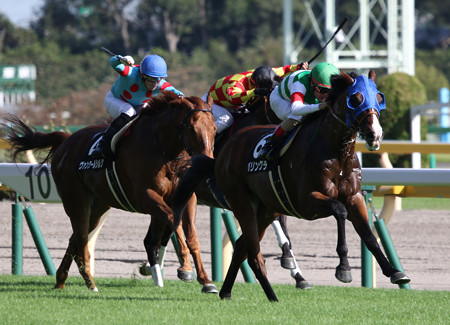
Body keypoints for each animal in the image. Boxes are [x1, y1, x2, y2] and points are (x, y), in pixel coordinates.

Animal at [4, 90, 217, 292]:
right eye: (192, 128)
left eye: (214, 129)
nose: (207, 164)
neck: (164, 150)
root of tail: (67, 141)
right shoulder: (145, 196)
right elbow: (174, 219)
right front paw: (185, 269)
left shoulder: (186, 197)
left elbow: (190, 235)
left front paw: (206, 281)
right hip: (76, 201)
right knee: (81, 239)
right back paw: (90, 283)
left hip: (98, 206)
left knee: (76, 239)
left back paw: (60, 281)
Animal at [173, 71, 412, 302]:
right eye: (355, 99)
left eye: (379, 98)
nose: (375, 134)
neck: (337, 154)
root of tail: (222, 154)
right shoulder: (306, 202)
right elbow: (339, 210)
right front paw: (343, 268)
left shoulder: (354, 197)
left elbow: (369, 235)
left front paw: (395, 272)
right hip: (242, 203)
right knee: (251, 252)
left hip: (263, 211)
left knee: (242, 248)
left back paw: (227, 292)